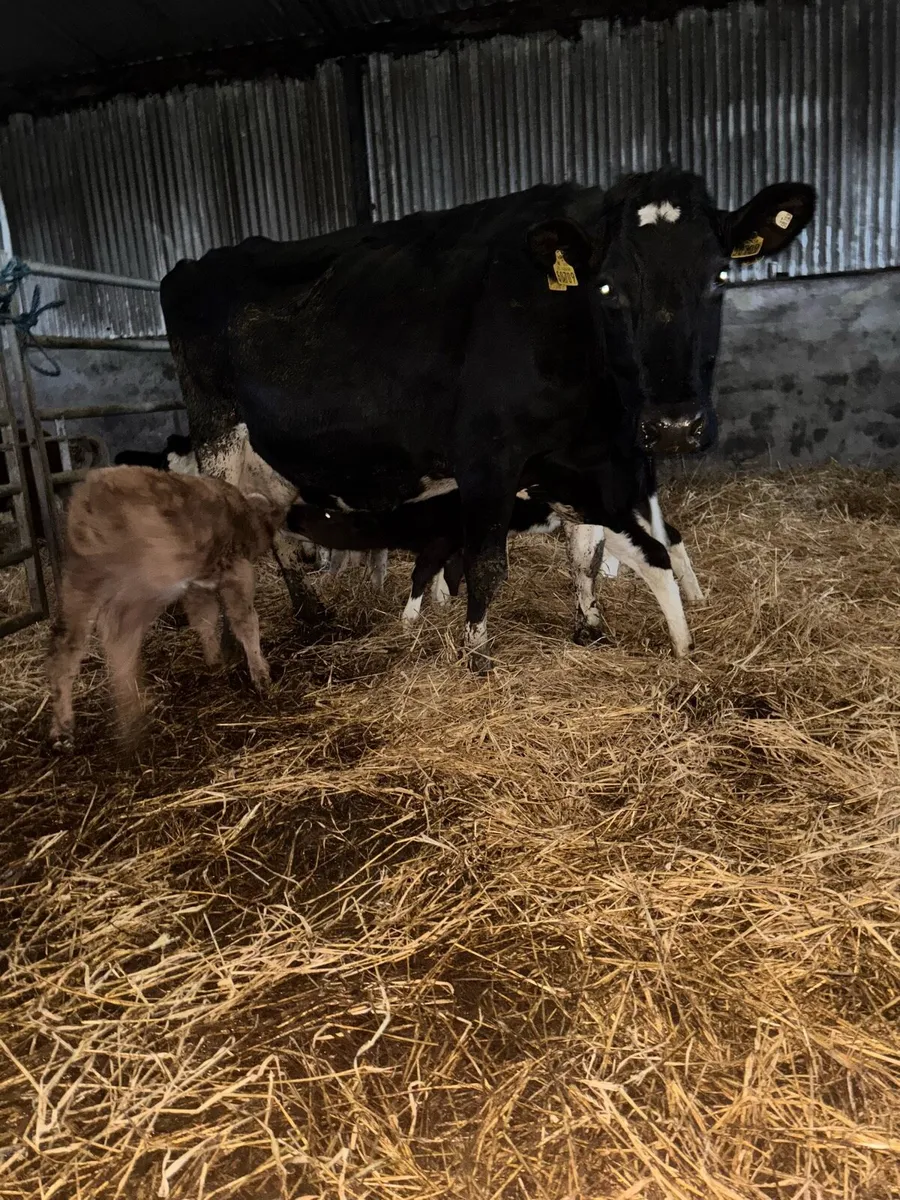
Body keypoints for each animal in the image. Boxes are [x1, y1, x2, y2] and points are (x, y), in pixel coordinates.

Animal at [46, 466, 287, 751]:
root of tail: (92, 497)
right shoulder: (237, 571)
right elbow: (246, 622)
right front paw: (261, 674)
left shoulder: (196, 585)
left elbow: (204, 618)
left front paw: (215, 660)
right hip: (143, 585)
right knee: (119, 637)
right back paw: (132, 717)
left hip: (80, 583)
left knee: (67, 647)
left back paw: (63, 729)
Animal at [161, 169, 814, 670]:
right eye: (607, 287)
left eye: (720, 277)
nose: (675, 425)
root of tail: (198, 261)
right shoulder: (487, 459)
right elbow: (487, 564)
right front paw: (475, 653)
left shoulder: (588, 462)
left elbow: (587, 552)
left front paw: (591, 626)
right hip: (216, 431)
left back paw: (310, 609)